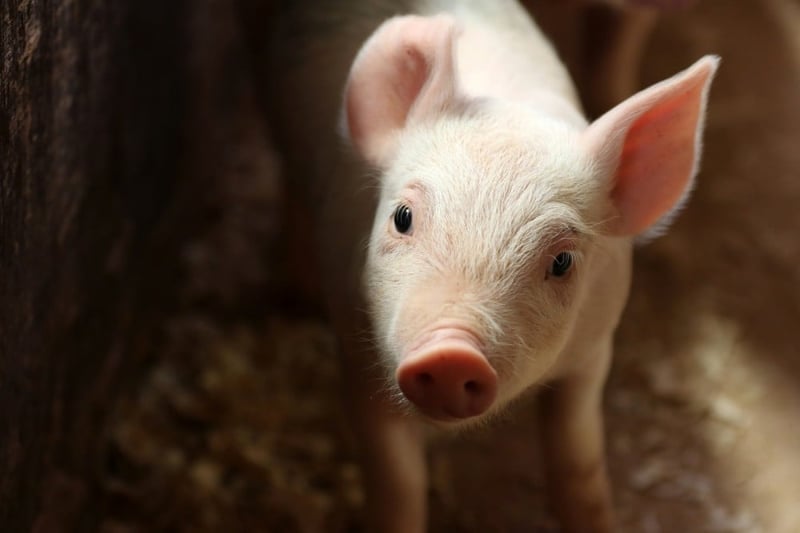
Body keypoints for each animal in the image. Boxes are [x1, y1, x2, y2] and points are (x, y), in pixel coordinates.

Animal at [266, 1, 716, 532]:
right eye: (403, 217)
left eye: (562, 260)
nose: (451, 354)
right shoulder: (356, 351)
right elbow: (397, 485)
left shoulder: (594, 348)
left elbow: (578, 462)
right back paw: (297, 294)